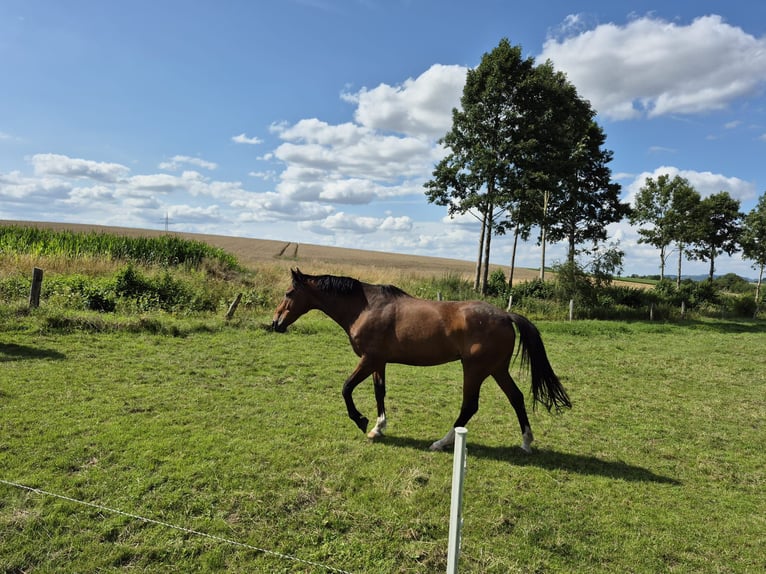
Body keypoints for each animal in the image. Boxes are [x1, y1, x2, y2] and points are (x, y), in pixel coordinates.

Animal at [272, 268, 570, 452]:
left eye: (288, 293)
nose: (275, 323)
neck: (366, 308)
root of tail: (506, 315)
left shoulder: (368, 359)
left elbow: (346, 388)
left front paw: (361, 420)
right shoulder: (379, 362)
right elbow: (379, 392)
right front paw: (378, 428)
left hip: (474, 369)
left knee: (470, 406)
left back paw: (440, 443)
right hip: (497, 369)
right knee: (516, 398)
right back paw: (526, 442)